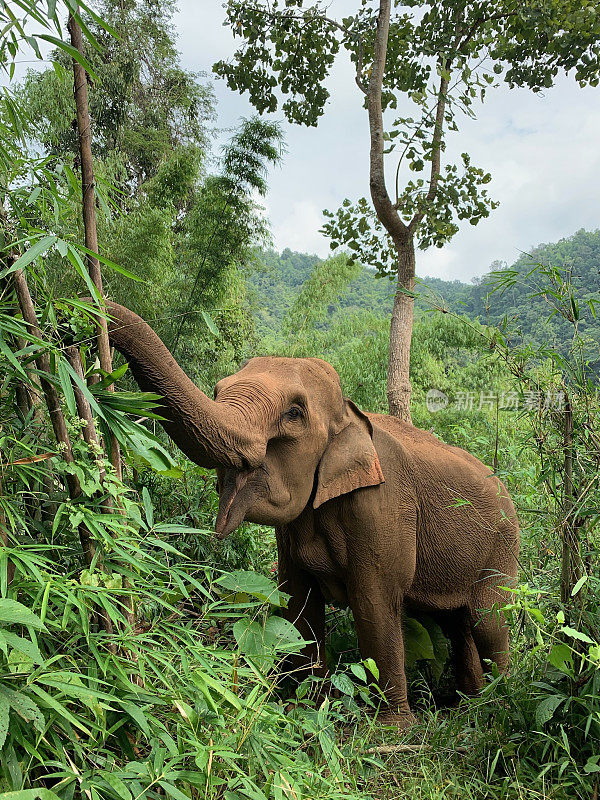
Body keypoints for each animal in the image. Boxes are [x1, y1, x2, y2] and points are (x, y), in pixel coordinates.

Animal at [104, 300, 520, 724]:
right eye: (218, 389)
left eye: (293, 413)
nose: (92, 309)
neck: (351, 415)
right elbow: (297, 600)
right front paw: (303, 707)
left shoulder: (382, 506)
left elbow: (375, 602)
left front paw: (393, 730)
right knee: (455, 623)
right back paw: (471, 704)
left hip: (503, 548)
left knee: (489, 619)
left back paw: (501, 700)